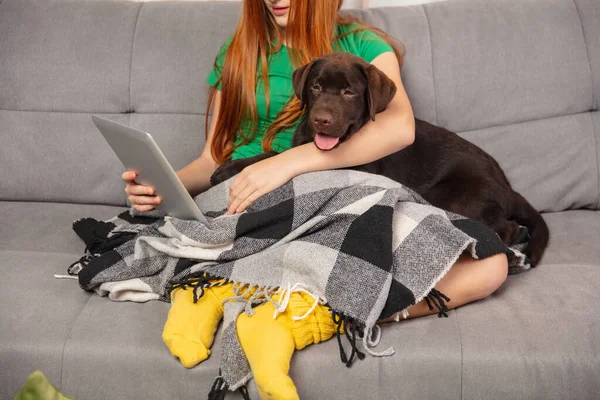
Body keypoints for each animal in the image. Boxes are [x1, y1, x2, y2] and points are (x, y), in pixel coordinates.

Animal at [211, 51, 548, 268]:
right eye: (316, 87)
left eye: (349, 93)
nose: (321, 120)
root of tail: (507, 186)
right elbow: (275, 156)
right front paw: (229, 168)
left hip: (453, 199)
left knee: (505, 227)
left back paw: (514, 246)